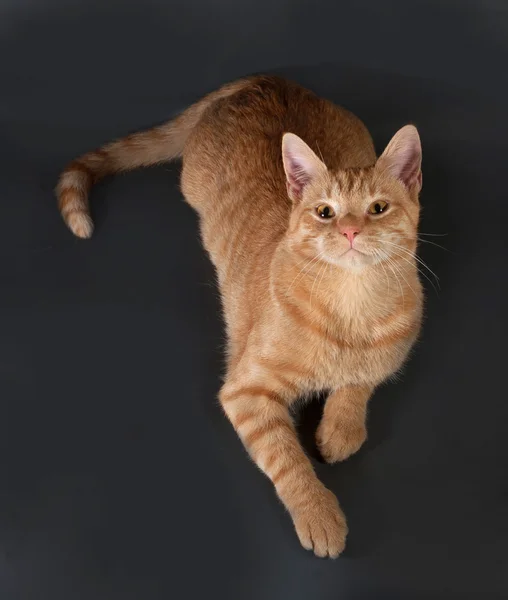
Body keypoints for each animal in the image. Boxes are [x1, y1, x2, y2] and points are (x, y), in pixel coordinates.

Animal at [56, 75, 424, 556]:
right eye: (324, 212)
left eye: (378, 208)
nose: (349, 231)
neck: (352, 304)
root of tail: (264, 81)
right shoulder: (246, 391)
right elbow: (288, 460)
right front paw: (319, 513)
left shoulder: (394, 348)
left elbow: (361, 381)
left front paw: (340, 428)